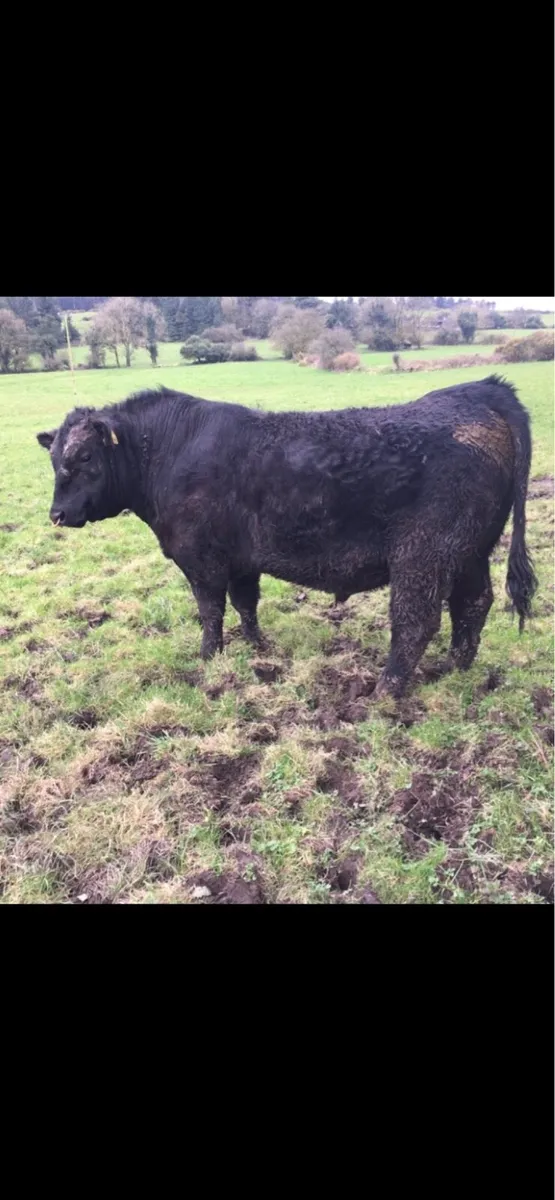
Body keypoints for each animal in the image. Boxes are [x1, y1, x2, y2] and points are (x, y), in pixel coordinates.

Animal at [37, 376, 537, 698]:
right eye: (55, 457)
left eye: (83, 457)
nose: (57, 514)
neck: (168, 450)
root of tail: (478, 391)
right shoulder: (240, 558)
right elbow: (245, 603)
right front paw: (257, 647)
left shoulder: (202, 558)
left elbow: (210, 610)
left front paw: (209, 657)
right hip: (470, 551)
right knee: (473, 604)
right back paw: (455, 668)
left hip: (424, 555)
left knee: (416, 621)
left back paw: (385, 691)